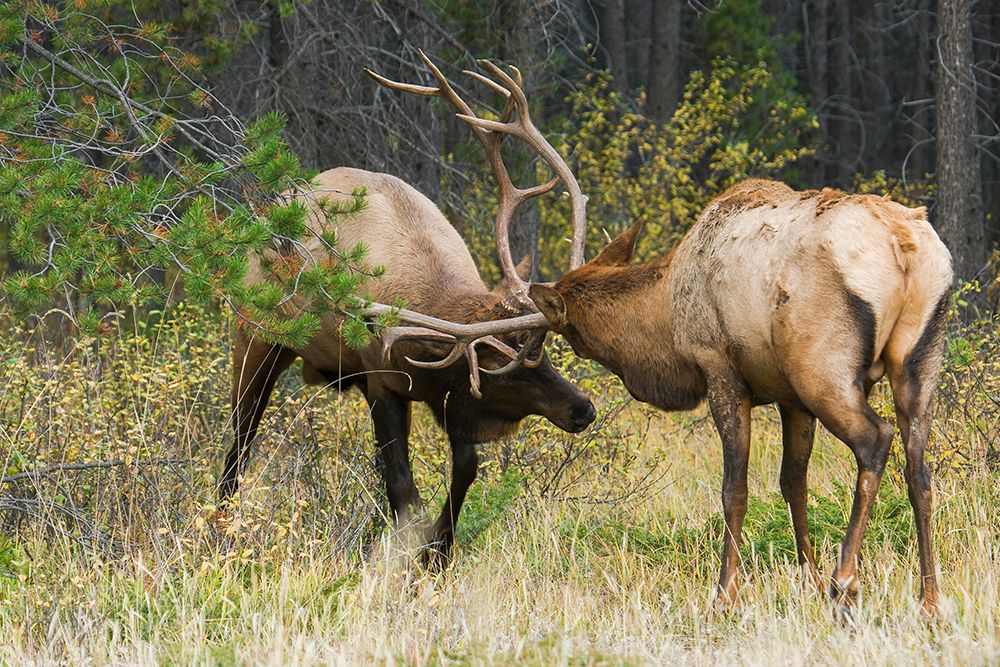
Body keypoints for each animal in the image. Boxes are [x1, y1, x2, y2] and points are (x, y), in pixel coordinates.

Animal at [217, 53, 596, 567]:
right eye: (500, 366)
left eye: (546, 353)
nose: (583, 409)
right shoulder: (383, 379)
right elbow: (405, 489)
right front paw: (408, 555)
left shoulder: (448, 397)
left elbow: (464, 471)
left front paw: (438, 551)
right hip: (256, 338)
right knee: (238, 442)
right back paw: (218, 529)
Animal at [528, 181, 953, 619]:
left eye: (572, 337)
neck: (666, 316)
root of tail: (901, 245)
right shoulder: (790, 398)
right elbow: (793, 483)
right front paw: (811, 582)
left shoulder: (719, 368)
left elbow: (734, 488)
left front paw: (725, 595)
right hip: (919, 358)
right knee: (919, 469)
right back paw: (930, 601)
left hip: (822, 368)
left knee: (876, 439)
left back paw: (846, 583)